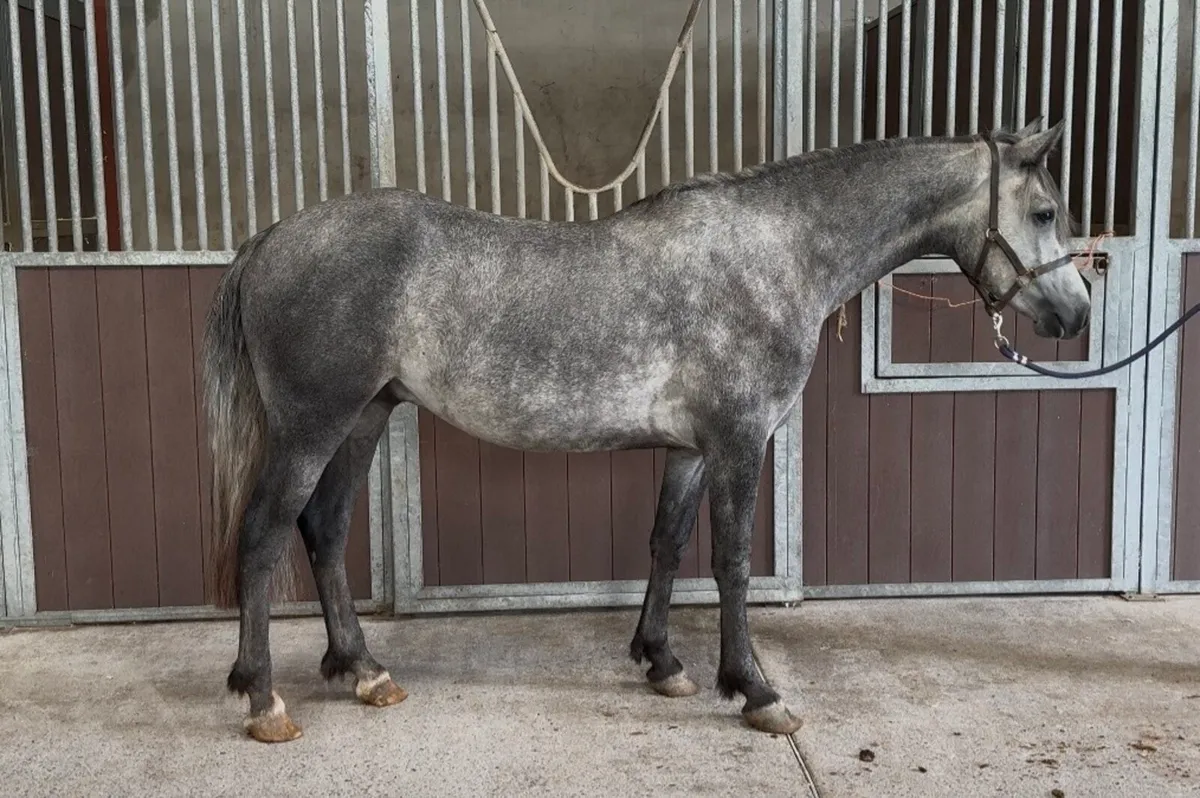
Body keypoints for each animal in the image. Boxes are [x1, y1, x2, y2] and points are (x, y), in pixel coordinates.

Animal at [202, 120, 1087, 742]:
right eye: (1045, 211)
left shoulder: (690, 451)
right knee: (266, 535)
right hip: (312, 426)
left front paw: (662, 663)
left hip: (364, 417)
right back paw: (264, 698)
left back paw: (363, 671)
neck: (777, 254)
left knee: (324, 529)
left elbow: (666, 543)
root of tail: (272, 239)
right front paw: (757, 690)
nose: (1076, 316)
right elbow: (732, 562)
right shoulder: (739, 440)